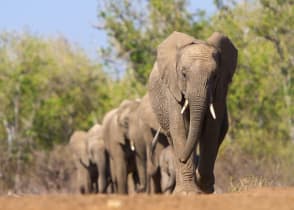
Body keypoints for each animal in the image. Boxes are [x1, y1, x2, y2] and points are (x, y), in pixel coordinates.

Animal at [148, 30, 238, 194]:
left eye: (215, 76)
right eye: (183, 74)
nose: (182, 158)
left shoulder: (219, 90)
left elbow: (211, 129)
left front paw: (204, 188)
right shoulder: (173, 89)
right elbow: (181, 128)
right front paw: (189, 192)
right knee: (173, 137)